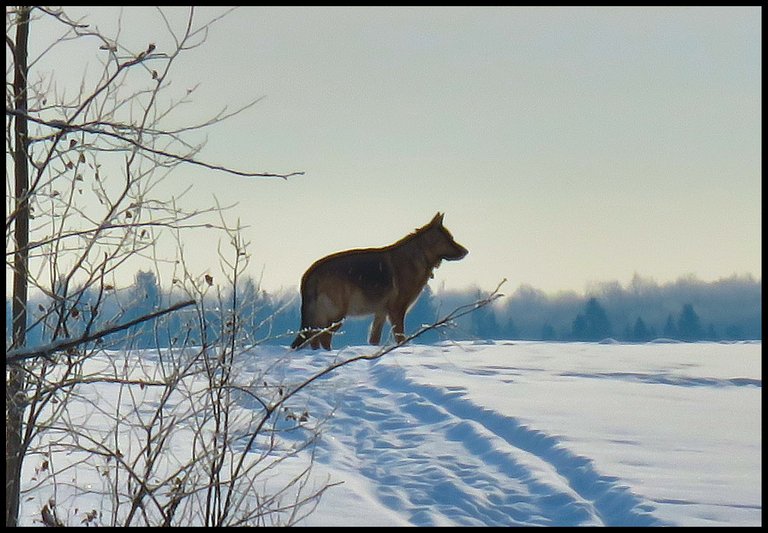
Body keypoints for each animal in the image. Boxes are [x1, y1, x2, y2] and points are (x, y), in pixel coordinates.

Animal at [290, 212, 464, 350]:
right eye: (450, 239)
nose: (466, 251)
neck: (420, 254)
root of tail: (310, 272)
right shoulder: (397, 312)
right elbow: (400, 337)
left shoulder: (381, 314)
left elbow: (374, 339)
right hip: (336, 316)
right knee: (323, 338)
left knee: (315, 339)